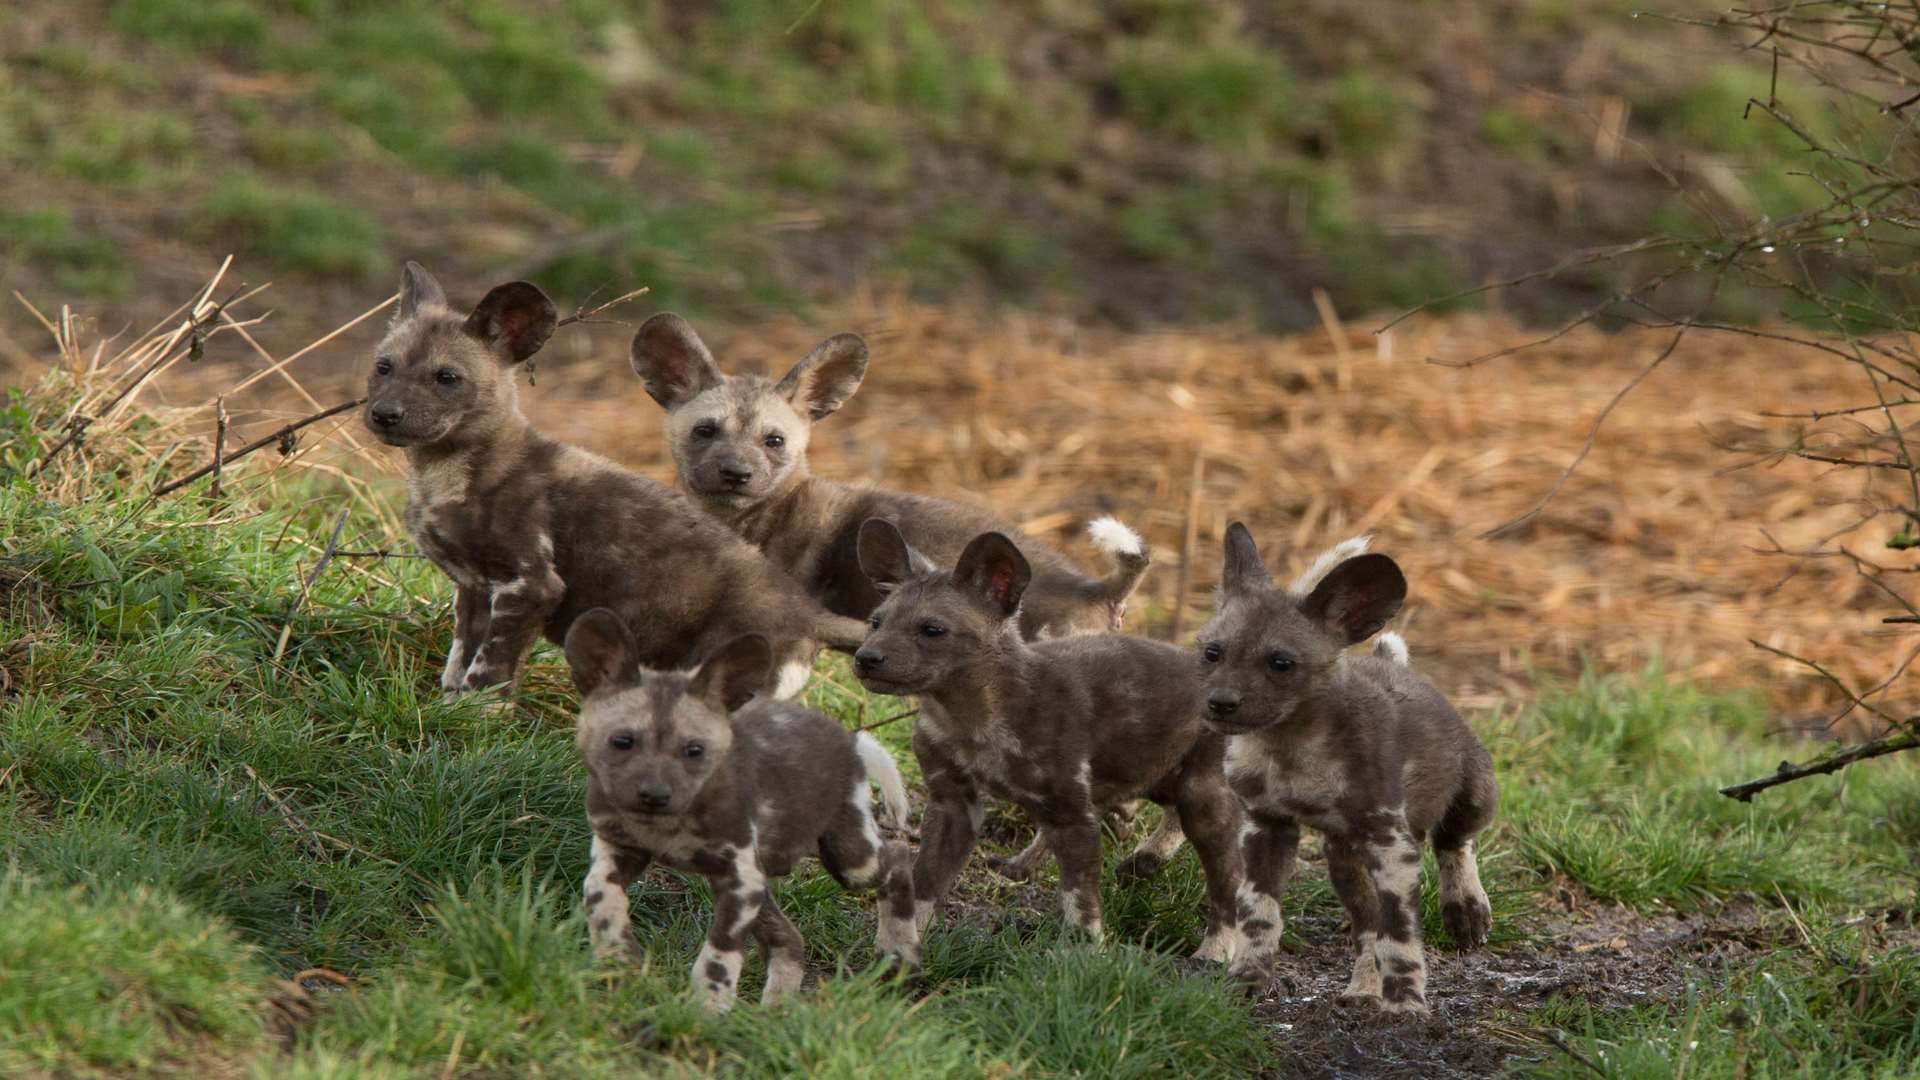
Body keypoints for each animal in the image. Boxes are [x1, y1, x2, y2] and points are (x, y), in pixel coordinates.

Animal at [360, 265, 871, 691]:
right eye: (383, 367)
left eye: (447, 377)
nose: (384, 414)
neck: (442, 476)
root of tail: (805, 612)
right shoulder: (474, 590)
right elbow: (457, 666)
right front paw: (446, 713)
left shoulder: (531, 585)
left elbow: (487, 675)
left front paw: (479, 724)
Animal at [560, 607, 921, 1006]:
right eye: (622, 741)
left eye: (694, 750)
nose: (654, 795)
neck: (668, 826)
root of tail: (848, 736)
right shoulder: (621, 847)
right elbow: (598, 894)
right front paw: (617, 957)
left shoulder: (739, 881)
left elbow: (719, 956)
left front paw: (707, 1008)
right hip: (769, 881)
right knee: (790, 940)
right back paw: (775, 1010)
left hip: (850, 859)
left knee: (898, 858)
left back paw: (899, 954)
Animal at [860, 518, 1259, 960]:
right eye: (876, 622)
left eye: (932, 630)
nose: (865, 659)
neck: (971, 718)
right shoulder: (953, 804)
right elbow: (924, 883)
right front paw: (896, 950)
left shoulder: (1072, 812)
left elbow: (1081, 904)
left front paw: (1084, 958)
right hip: (1154, 771)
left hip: (1202, 791)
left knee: (1227, 878)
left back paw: (1212, 953)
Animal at [1198, 522, 1497, 1006]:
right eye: (1212, 653)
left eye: (1280, 663)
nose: (1220, 703)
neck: (1291, 749)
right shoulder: (1267, 827)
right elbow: (1260, 916)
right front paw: (1247, 980)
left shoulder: (1390, 841)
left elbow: (1400, 935)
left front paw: (1405, 1006)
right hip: (1343, 857)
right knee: (1366, 925)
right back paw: (1363, 988)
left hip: (1474, 794)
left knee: (1456, 840)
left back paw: (1466, 910)